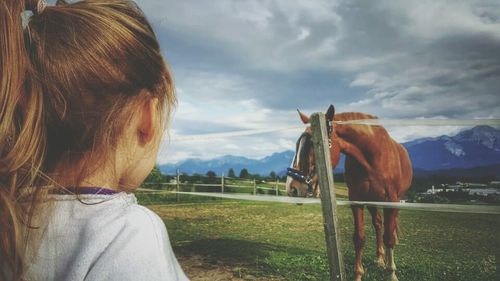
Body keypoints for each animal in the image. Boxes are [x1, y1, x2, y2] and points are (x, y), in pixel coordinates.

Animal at [288, 104, 412, 280]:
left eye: (313, 144)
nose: (292, 188)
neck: (373, 155)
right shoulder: (357, 200)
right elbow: (359, 238)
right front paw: (359, 274)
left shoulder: (391, 201)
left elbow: (389, 238)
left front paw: (391, 273)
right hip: (372, 201)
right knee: (378, 224)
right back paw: (380, 259)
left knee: (390, 230)